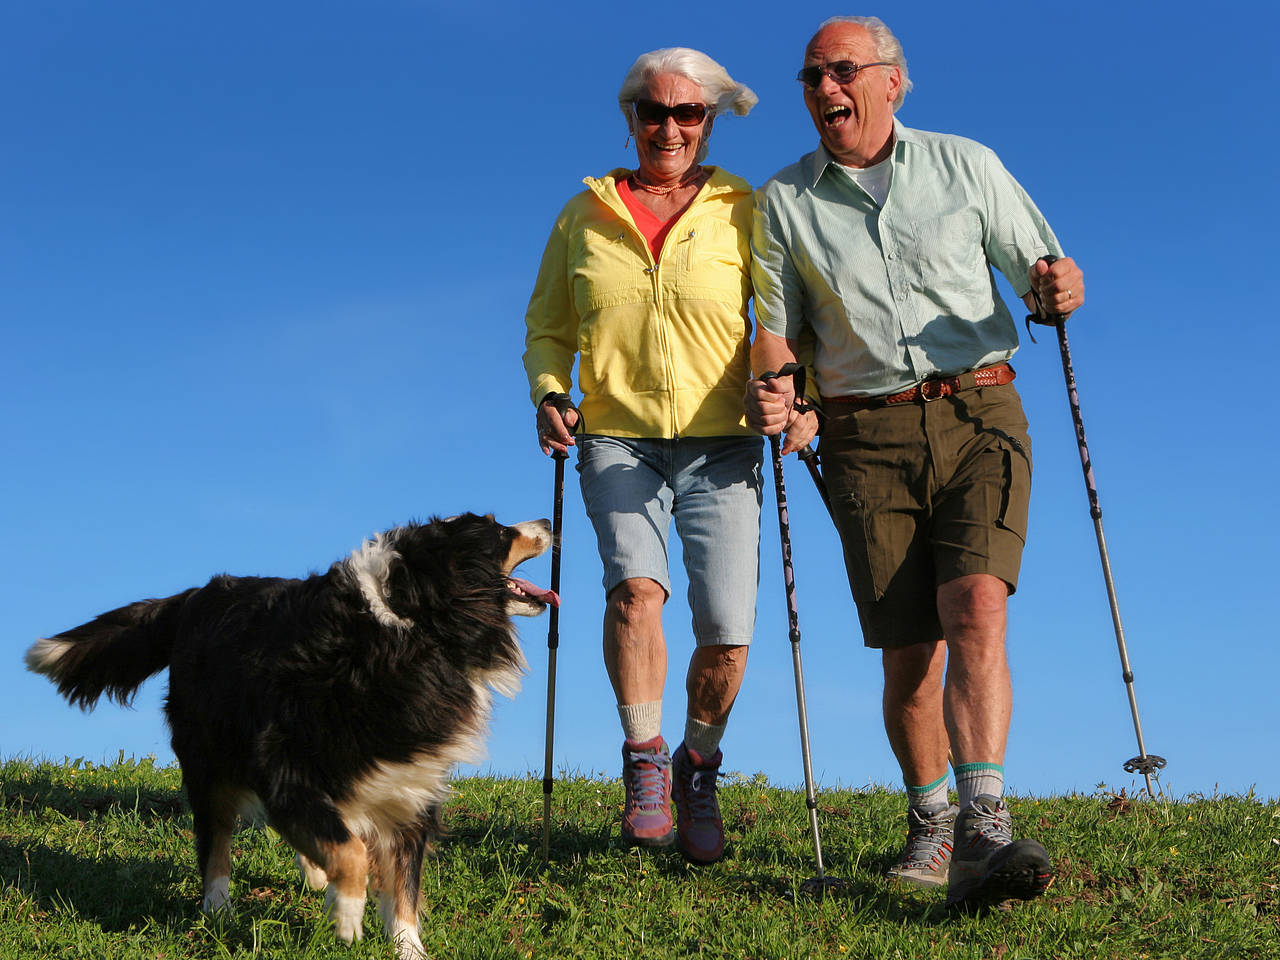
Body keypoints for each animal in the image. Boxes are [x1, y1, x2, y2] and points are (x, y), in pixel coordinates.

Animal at [26, 519, 555, 960]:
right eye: (499, 529)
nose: (548, 521)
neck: (410, 624)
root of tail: (196, 595)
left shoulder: (410, 785)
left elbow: (401, 886)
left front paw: (408, 949)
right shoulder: (284, 762)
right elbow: (352, 853)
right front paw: (347, 917)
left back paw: (312, 873)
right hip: (210, 755)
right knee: (216, 838)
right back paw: (219, 908)